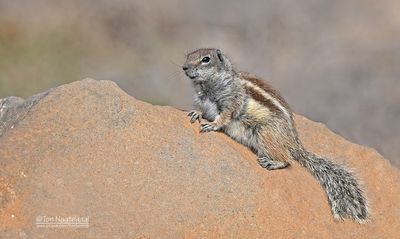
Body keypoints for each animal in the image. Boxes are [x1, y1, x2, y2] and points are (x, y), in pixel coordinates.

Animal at [181, 47, 368, 223]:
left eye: (206, 59)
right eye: (188, 55)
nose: (184, 67)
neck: (208, 85)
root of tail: (293, 142)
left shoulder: (232, 101)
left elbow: (225, 116)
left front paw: (212, 125)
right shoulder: (203, 100)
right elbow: (202, 109)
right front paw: (196, 113)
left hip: (265, 134)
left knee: (287, 159)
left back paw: (272, 162)